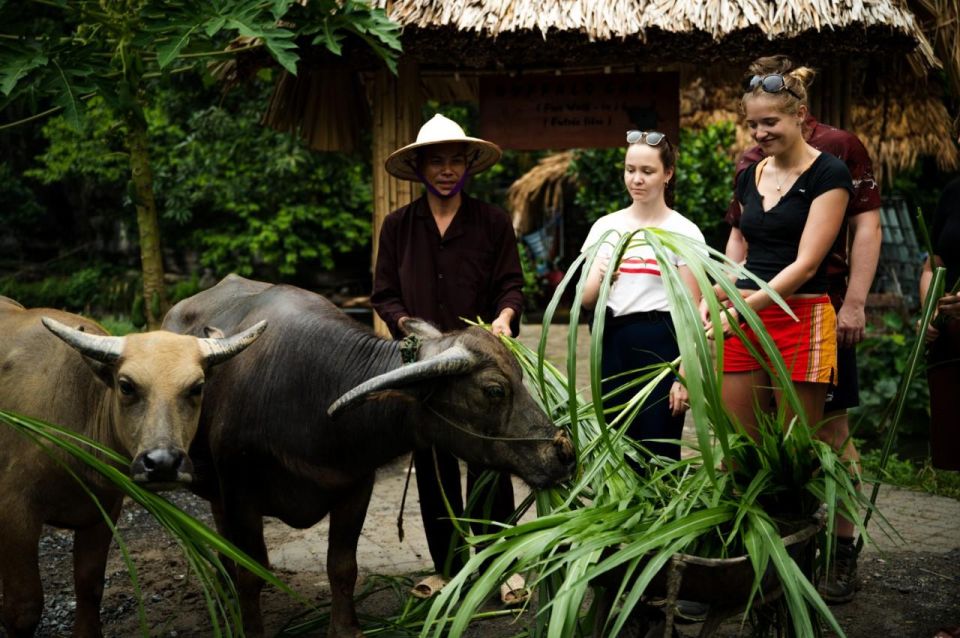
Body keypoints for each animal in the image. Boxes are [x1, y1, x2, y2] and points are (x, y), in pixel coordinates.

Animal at [0, 298, 266, 636]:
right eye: (126, 386)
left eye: (197, 387)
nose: (163, 463)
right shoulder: (15, 513)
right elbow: (24, 607)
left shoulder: (104, 509)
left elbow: (89, 585)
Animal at [163, 276, 576, 638]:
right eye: (494, 390)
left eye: (521, 377)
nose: (564, 453)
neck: (311, 392)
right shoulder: (239, 492)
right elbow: (251, 572)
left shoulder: (356, 486)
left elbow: (342, 566)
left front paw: (346, 629)